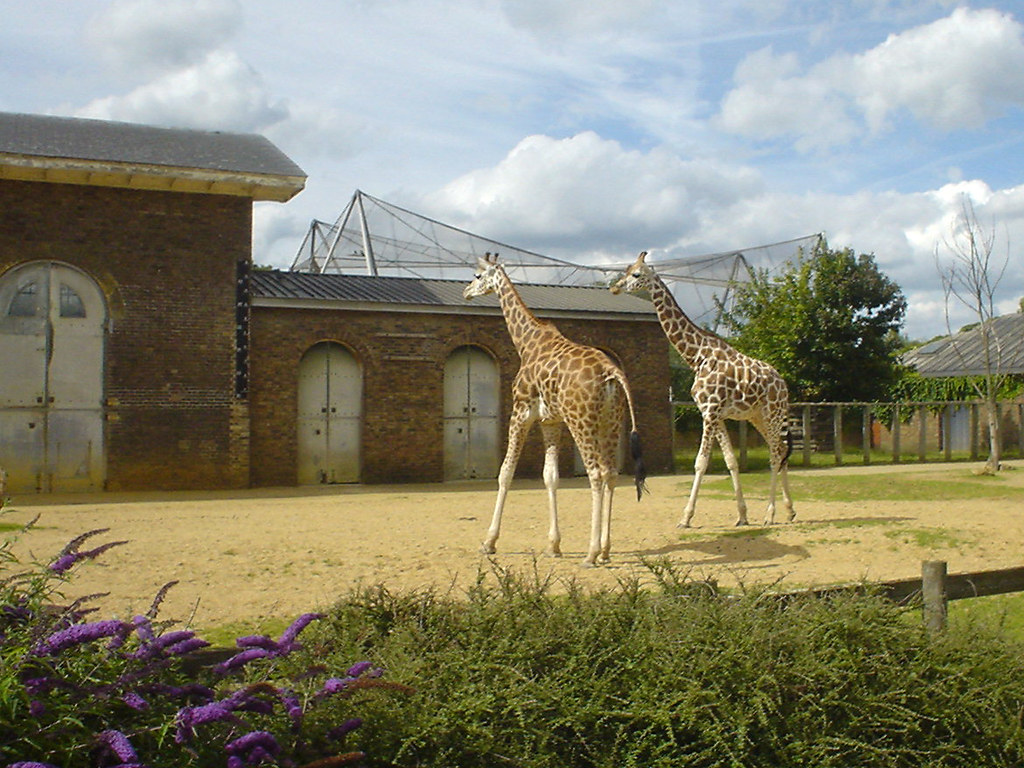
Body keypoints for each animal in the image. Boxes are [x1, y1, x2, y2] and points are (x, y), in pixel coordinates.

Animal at [463, 253, 647, 566]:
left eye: (477, 276)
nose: (466, 292)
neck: (526, 342)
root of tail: (611, 373)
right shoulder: (551, 421)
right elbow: (550, 477)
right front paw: (554, 545)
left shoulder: (521, 411)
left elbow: (505, 473)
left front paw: (489, 542)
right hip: (611, 421)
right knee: (610, 473)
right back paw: (606, 550)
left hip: (582, 421)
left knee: (596, 473)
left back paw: (591, 553)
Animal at [610, 250, 794, 527]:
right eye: (627, 270)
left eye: (636, 274)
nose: (615, 287)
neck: (697, 356)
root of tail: (783, 384)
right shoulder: (714, 414)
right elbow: (731, 461)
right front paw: (742, 515)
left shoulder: (710, 411)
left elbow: (700, 462)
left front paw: (685, 517)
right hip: (757, 417)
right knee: (781, 449)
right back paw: (790, 510)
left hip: (772, 413)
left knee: (775, 453)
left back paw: (770, 514)